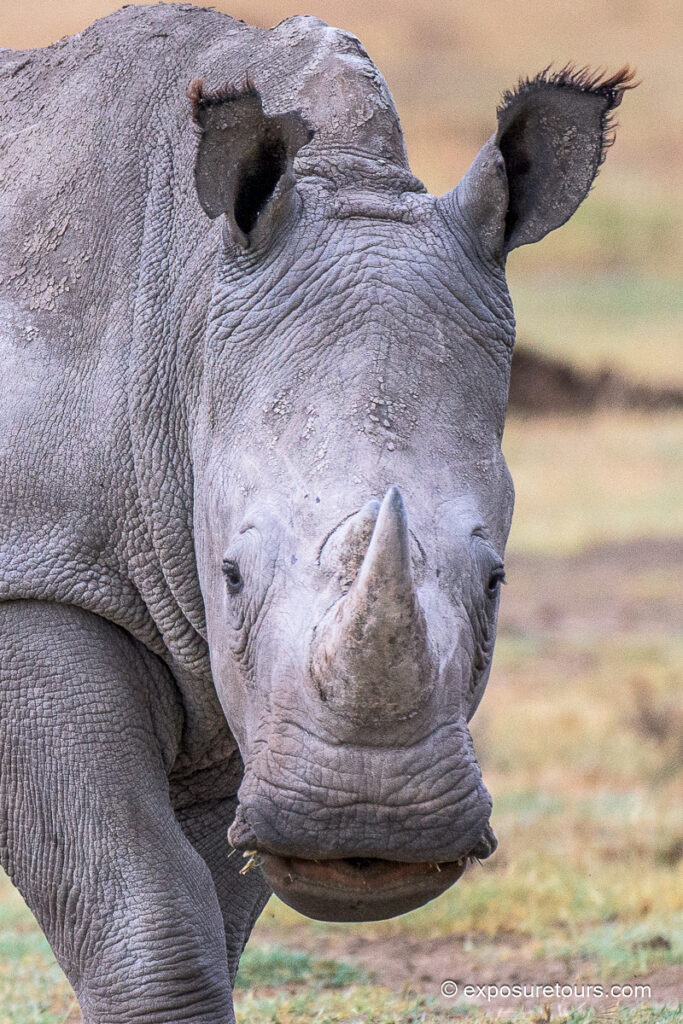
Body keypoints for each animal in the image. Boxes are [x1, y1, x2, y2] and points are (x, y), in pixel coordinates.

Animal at [0, 3, 633, 1021]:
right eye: (231, 571)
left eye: (497, 580)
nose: (365, 829)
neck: (186, 312)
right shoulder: (36, 577)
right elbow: (143, 907)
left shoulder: (242, 688)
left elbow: (210, 914)